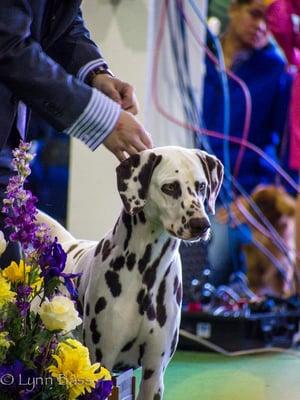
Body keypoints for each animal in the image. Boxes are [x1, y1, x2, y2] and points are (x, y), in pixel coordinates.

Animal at [38, 147, 223, 400]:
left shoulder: (154, 373)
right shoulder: (102, 362)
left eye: (201, 186)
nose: (201, 224)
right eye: (170, 187)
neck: (147, 272)